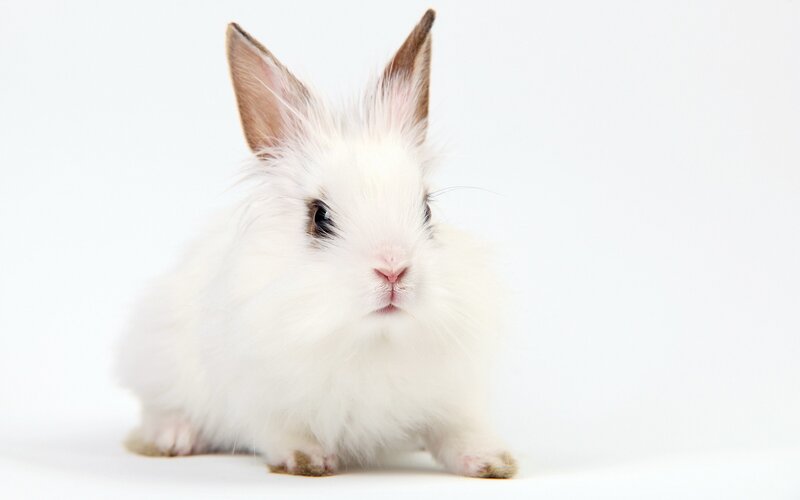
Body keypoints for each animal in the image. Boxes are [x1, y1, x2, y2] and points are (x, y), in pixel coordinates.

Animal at [116, 9, 517, 479]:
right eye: (319, 217)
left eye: (427, 211)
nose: (393, 270)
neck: (371, 341)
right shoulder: (256, 398)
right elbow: (276, 430)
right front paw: (306, 459)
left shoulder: (450, 399)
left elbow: (457, 431)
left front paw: (493, 461)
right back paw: (173, 437)